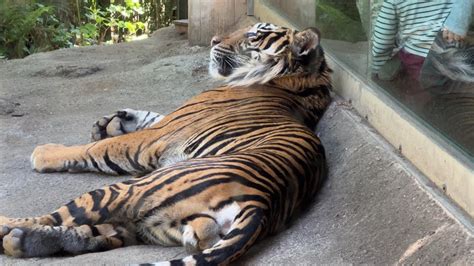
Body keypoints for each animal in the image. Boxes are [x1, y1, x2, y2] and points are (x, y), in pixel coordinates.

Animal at [0, 21, 334, 264]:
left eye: (253, 36)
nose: (213, 40)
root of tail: (262, 202)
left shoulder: (156, 137)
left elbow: (96, 149)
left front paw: (46, 151)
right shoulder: (169, 123)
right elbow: (150, 115)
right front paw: (112, 122)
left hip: (129, 190)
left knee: (56, 216)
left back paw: (9, 228)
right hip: (155, 225)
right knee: (98, 233)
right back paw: (21, 241)